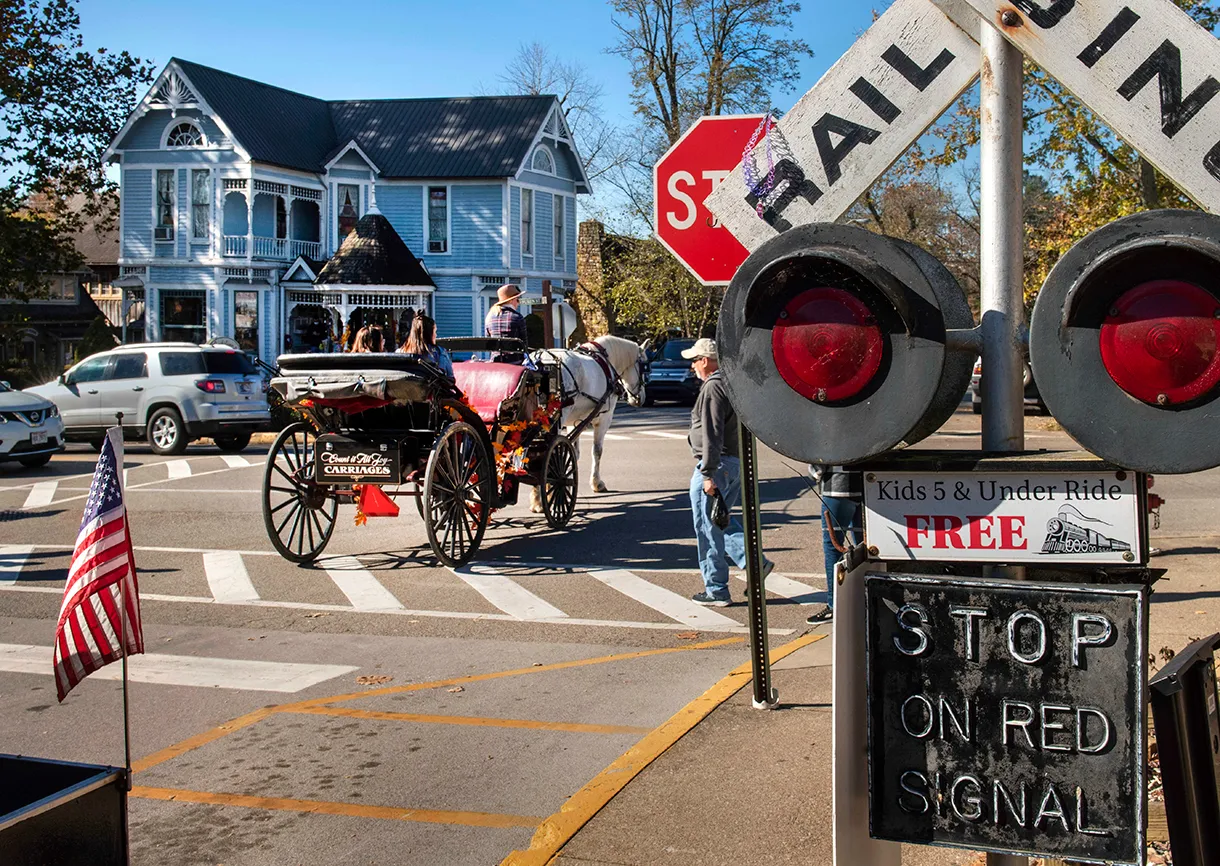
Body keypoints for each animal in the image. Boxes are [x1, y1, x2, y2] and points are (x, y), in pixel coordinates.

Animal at [531, 334, 649, 512]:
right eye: (644, 366)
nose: (640, 398)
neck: (606, 362)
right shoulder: (604, 419)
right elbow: (597, 451)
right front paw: (596, 483)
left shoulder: (573, 422)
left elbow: (573, 452)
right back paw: (539, 500)